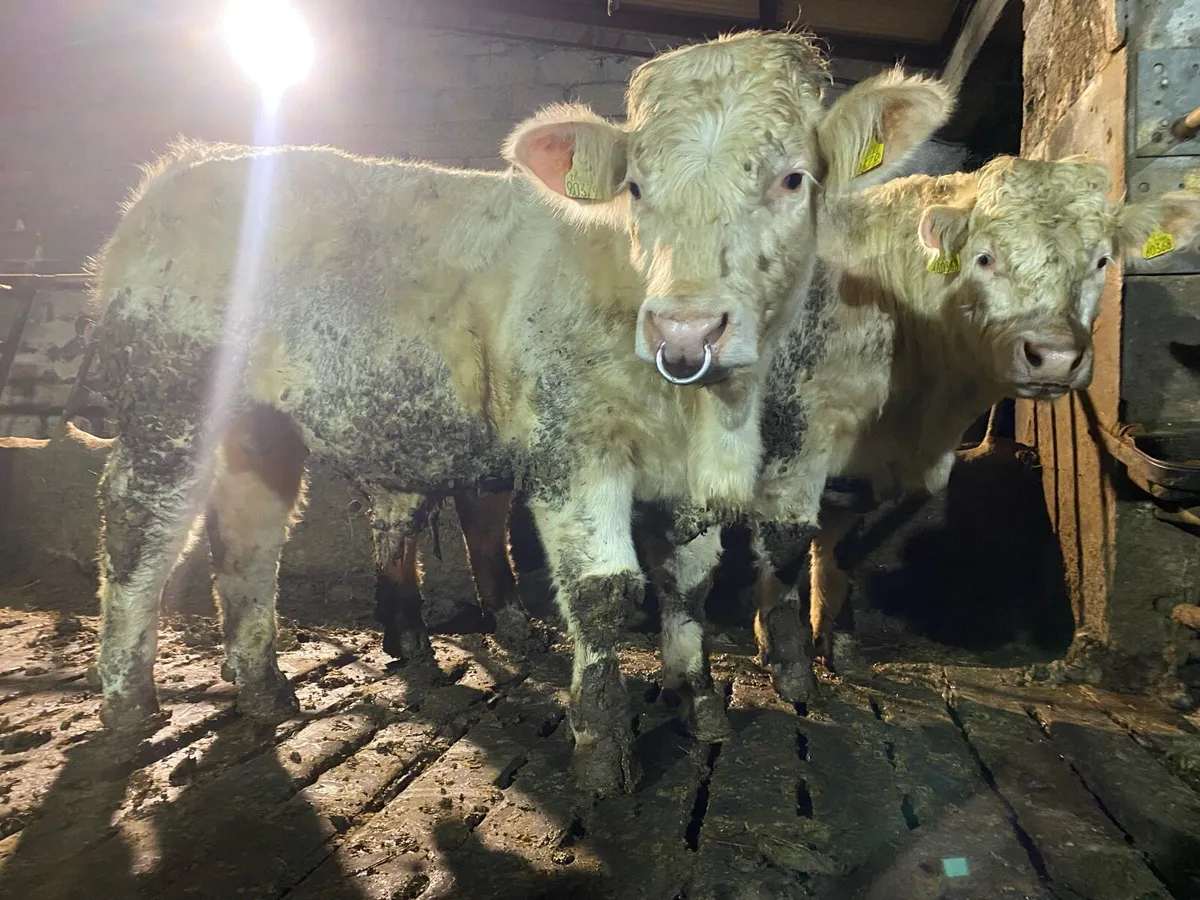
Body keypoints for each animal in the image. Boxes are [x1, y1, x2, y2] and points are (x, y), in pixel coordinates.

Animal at [86, 29, 952, 797]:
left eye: (792, 179)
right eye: (637, 187)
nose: (684, 330)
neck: (704, 415)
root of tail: (185, 167)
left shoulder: (689, 480)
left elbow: (691, 585)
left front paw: (696, 699)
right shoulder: (573, 449)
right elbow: (605, 592)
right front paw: (603, 749)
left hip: (260, 425)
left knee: (249, 536)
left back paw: (263, 686)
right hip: (167, 401)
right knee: (140, 528)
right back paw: (129, 703)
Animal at [738, 155, 1200, 700]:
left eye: (1102, 261)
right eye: (984, 259)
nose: (1054, 356)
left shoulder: (860, 466)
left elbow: (842, 550)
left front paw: (843, 651)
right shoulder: (794, 432)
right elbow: (787, 542)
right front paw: (789, 668)